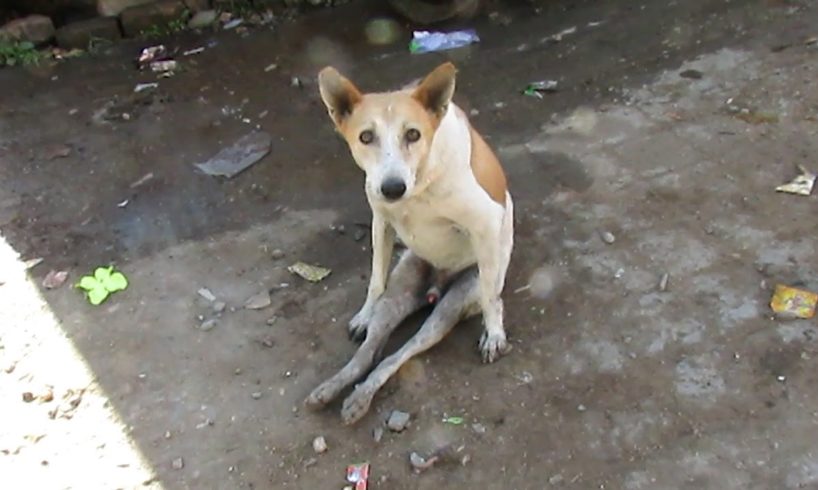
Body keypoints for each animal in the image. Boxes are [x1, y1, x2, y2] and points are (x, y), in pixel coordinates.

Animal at [302, 62, 512, 424]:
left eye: (413, 134)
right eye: (365, 137)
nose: (392, 188)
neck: (420, 181)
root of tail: (435, 287)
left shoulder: (486, 219)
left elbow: (491, 296)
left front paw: (495, 332)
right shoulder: (380, 219)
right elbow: (375, 277)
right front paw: (364, 313)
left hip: (448, 310)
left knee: (399, 353)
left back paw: (359, 398)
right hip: (398, 292)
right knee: (369, 353)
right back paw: (333, 390)